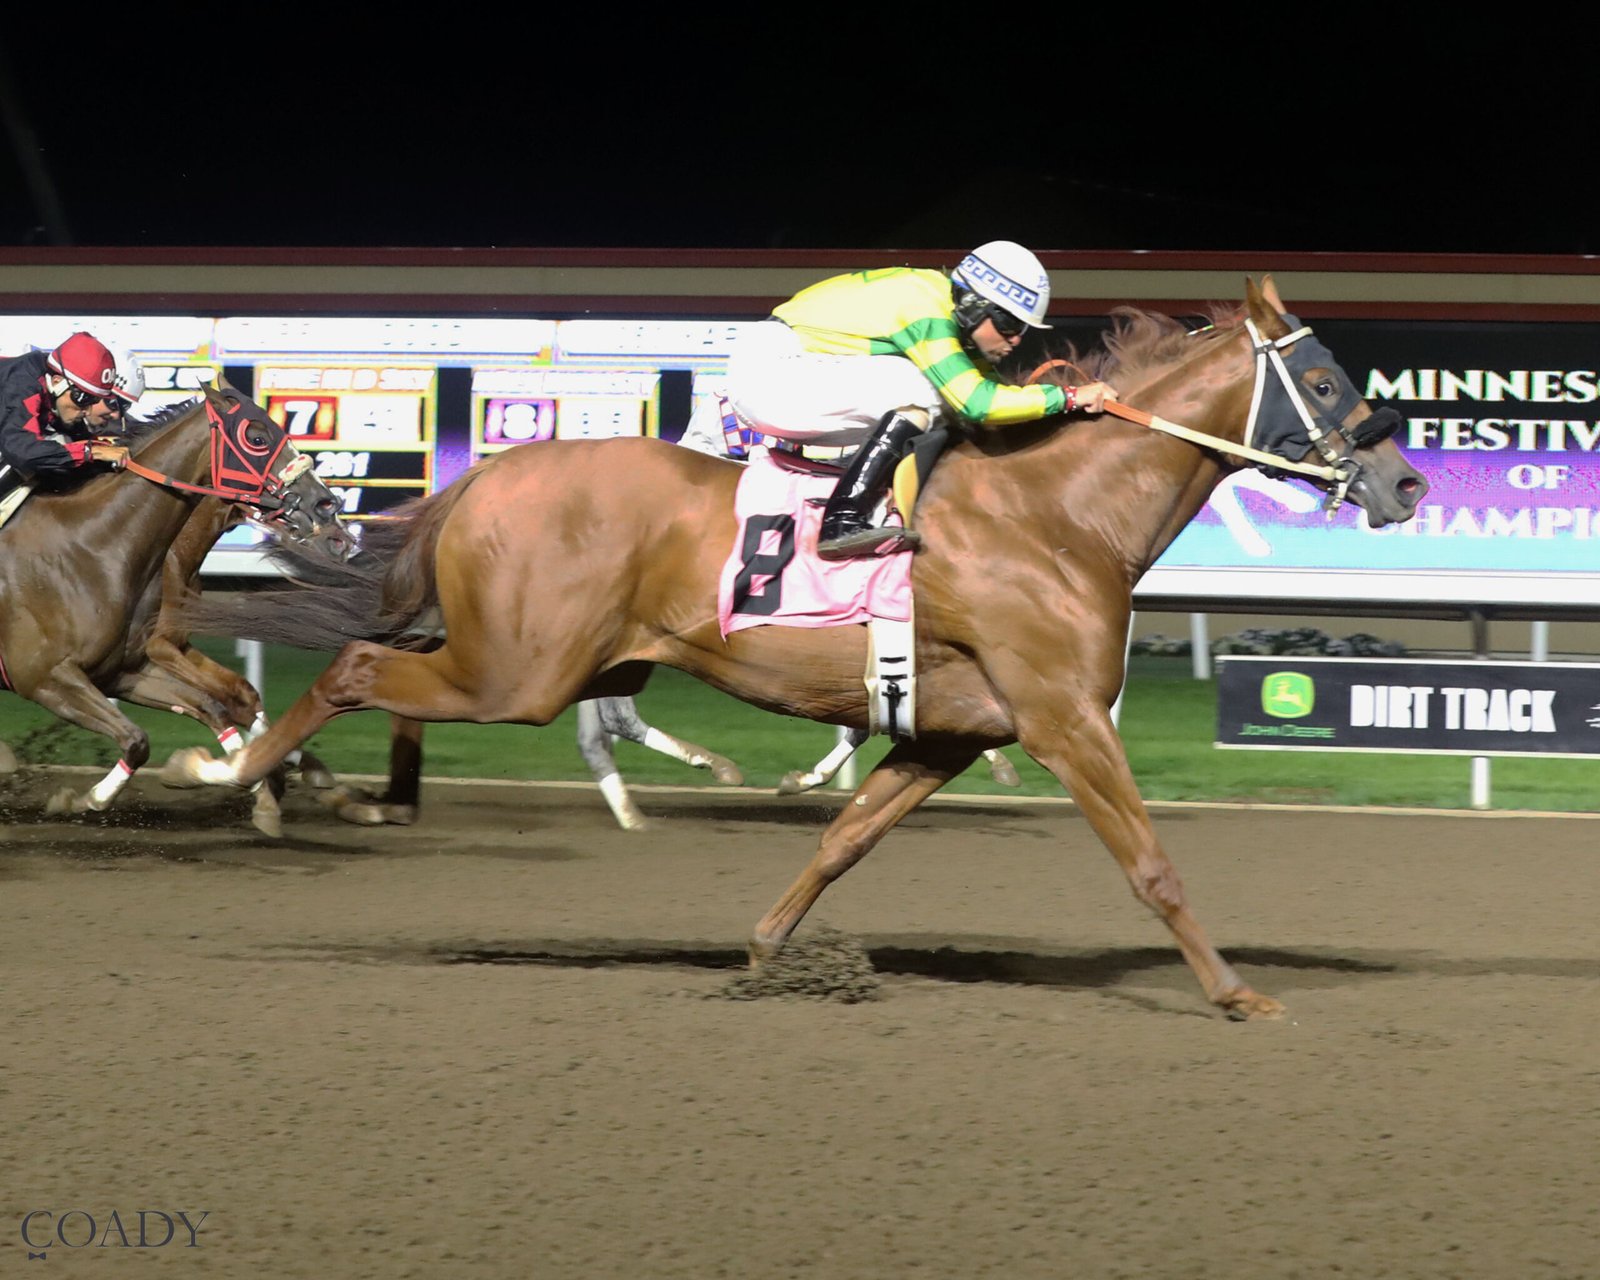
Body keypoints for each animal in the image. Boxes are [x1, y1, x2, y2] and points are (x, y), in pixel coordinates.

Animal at [0, 384, 352, 828]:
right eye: (256, 436)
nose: (328, 508)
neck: (90, 546)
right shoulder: (46, 677)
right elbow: (140, 738)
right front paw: (87, 799)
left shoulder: (127, 669)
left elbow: (224, 702)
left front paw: (264, 779)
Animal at [167, 278, 1428, 1019]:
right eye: (1325, 377)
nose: (1406, 484)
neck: (1058, 513)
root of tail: (491, 472)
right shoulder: (1064, 717)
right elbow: (1151, 863)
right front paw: (1236, 993)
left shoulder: (947, 733)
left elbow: (843, 838)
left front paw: (771, 949)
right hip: (516, 670)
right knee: (353, 669)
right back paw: (231, 768)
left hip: (576, 662)